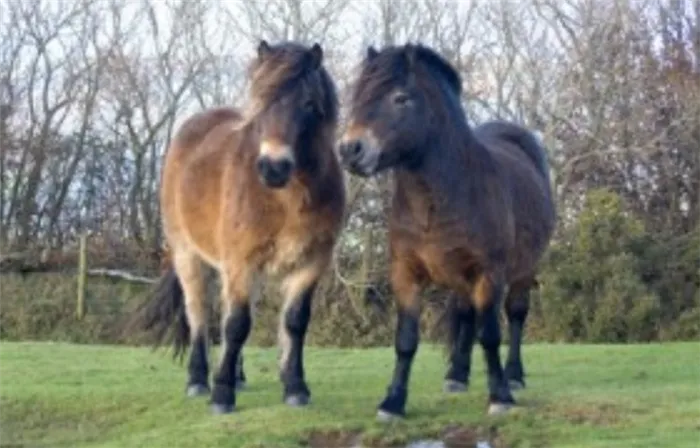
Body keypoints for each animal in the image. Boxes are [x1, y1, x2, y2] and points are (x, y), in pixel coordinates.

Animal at [130, 40, 346, 414]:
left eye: (308, 104)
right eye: (260, 101)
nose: (273, 167)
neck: (286, 198)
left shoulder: (311, 263)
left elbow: (294, 323)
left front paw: (295, 387)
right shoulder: (241, 262)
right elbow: (235, 325)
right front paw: (221, 394)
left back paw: (239, 376)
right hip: (189, 256)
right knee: (200, 315)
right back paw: (199, 380)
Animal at [336, 43, 556, 418]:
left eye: (400, 98)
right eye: (358, 95)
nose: (351, 149)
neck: (438, 199)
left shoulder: (488, 274)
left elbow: (490, 335)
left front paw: (500, 396)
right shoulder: (405, 274)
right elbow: (406, 340)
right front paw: (393, 402)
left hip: (523, 271)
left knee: (515, 316)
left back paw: (513, 377)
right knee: (466, 315)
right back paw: (457, 375)